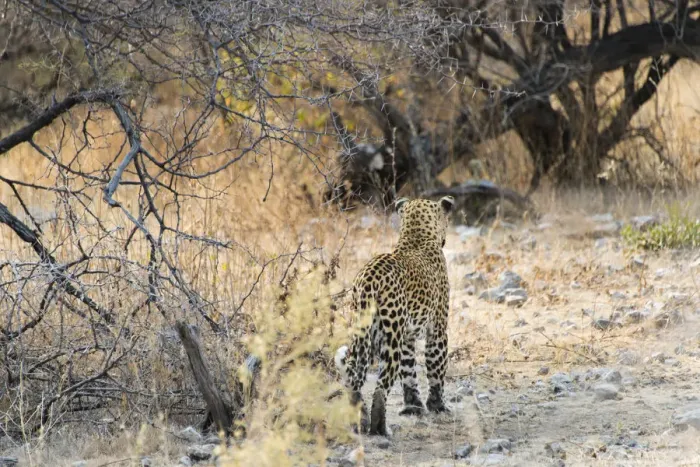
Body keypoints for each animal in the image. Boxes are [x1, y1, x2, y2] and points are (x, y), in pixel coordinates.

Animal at [334, 195, 455, 436]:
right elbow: (436, 368)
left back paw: (359, 423)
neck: (416, 236)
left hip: (363, 334)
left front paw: (413, 407)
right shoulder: (437, 329)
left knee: (354, 380)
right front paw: (437, 406)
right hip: (390, 337)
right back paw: (380, 429)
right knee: (381, 386)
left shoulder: (407, 335)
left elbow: (409, 373)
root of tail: (368, 280)